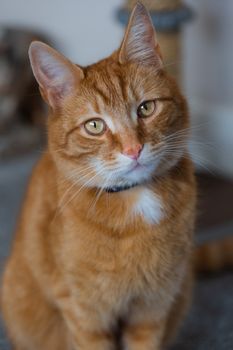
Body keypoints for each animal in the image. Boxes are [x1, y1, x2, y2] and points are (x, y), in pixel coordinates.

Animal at [2, 3, 198, 350]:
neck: (135, 202)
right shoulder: (85, 314)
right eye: (95, 126)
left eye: (146, 108)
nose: (134, 149)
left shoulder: (152, 309)